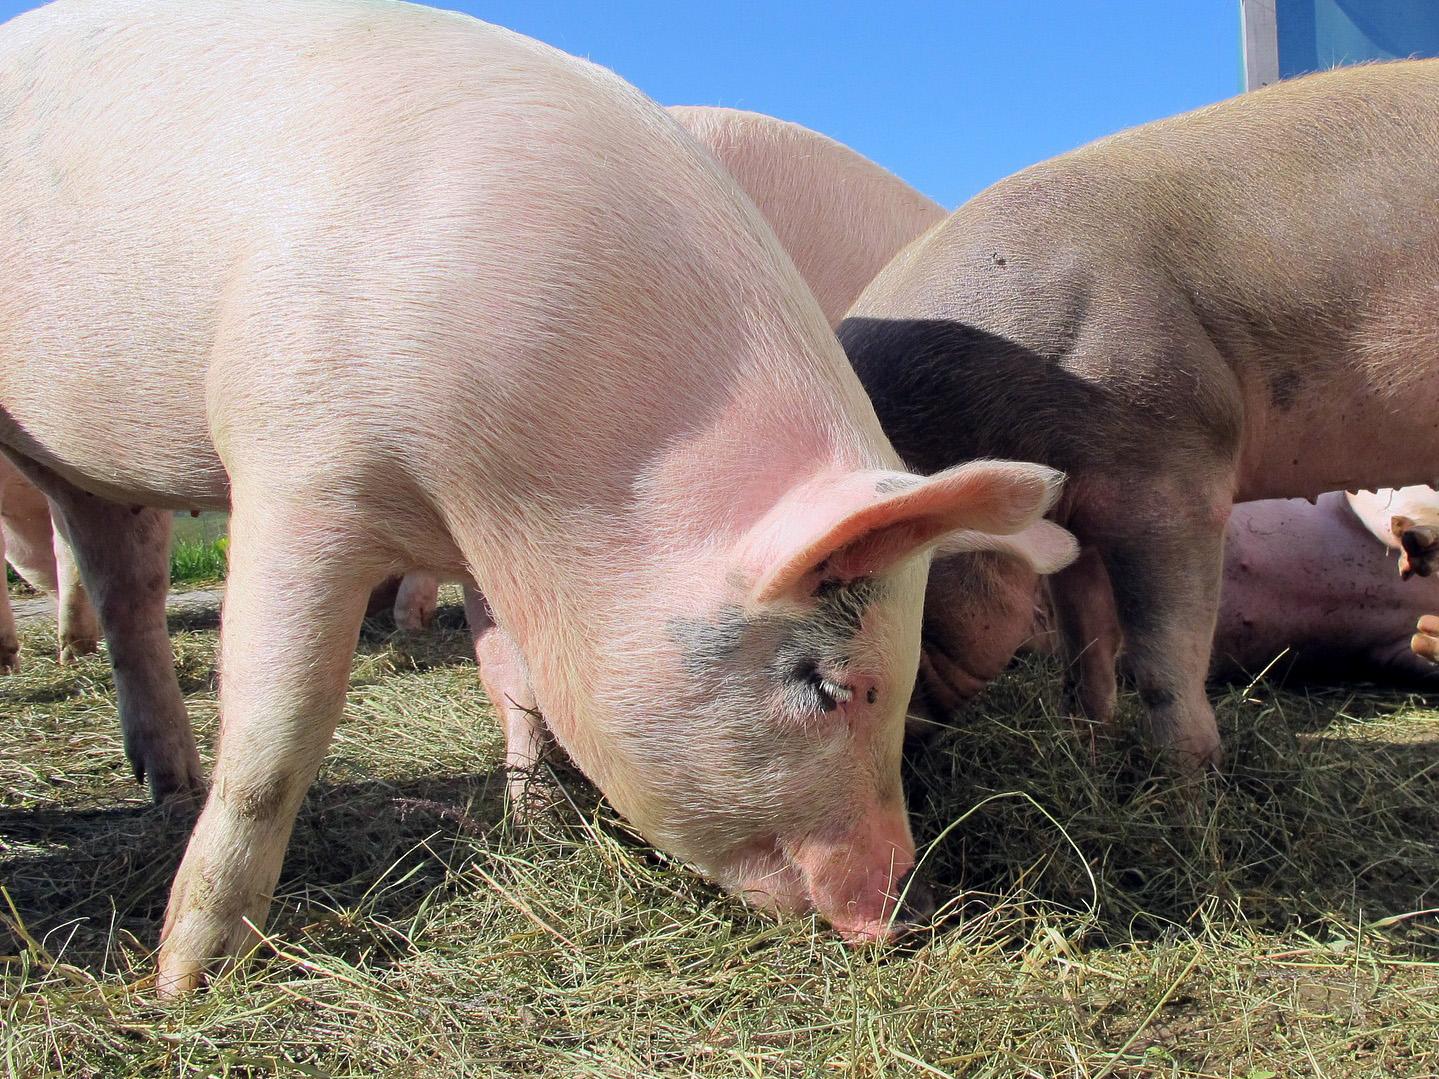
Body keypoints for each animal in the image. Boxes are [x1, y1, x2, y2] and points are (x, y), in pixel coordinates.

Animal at [841, 59, 1439, 766]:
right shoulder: (1073, 514)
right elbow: (1084, 643)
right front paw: (1086, 745)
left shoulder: (1171, 465)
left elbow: (1162, 652)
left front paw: (1184, 779)